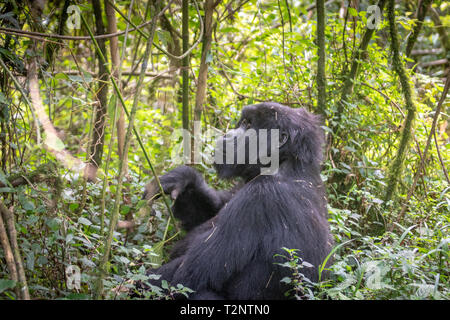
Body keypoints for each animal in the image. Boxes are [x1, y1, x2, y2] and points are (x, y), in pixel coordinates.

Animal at [141, 102, 334, 300]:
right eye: (242, 122)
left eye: (249, 125)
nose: (226, 136)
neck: (286, 160)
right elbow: (213, 209)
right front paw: (184, 178)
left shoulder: (260, 196)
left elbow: (185, 277)